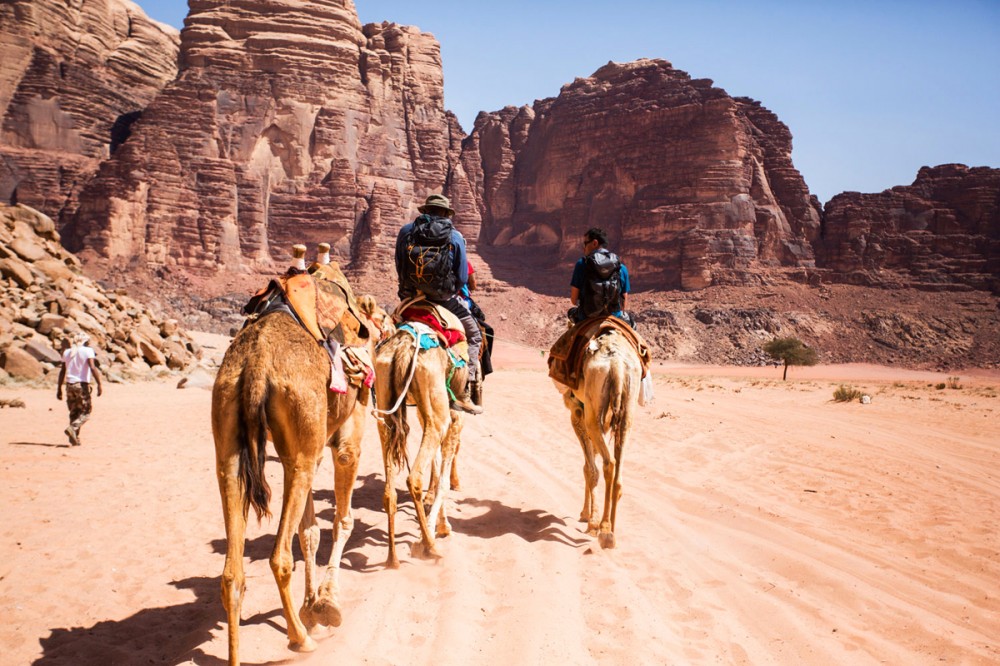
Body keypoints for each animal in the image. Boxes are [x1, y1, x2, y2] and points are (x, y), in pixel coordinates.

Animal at [212, 308, 372, 664]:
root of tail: (257, 363)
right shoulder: (346, 441)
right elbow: (342, 521)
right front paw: (326, 605)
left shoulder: (313, 451)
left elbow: (309, 531)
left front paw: (312, 606)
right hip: (301, 440)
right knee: (280, 557)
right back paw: (300, 639)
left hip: (230, 443)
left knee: (232, 574)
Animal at [374, 322, 466, 564]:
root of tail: (403, 349)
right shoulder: (453, 420)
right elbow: (443, 480)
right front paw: (441, 527)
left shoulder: (429, 418)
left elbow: (437, 467)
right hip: (436, 409)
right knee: (414, 477)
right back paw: (429, 546)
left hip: (385, 404)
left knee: (389, 491)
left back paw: (392, 558)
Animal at [564, 324, 640, 548]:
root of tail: (617, 365)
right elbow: (589, 465)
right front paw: (589, 515)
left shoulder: (577, 414)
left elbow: (589, 469)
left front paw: (590, 520)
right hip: (627, 411)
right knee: (618, 471)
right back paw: (612, 528)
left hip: (593, 412)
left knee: (609, 463)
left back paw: (604, 530)